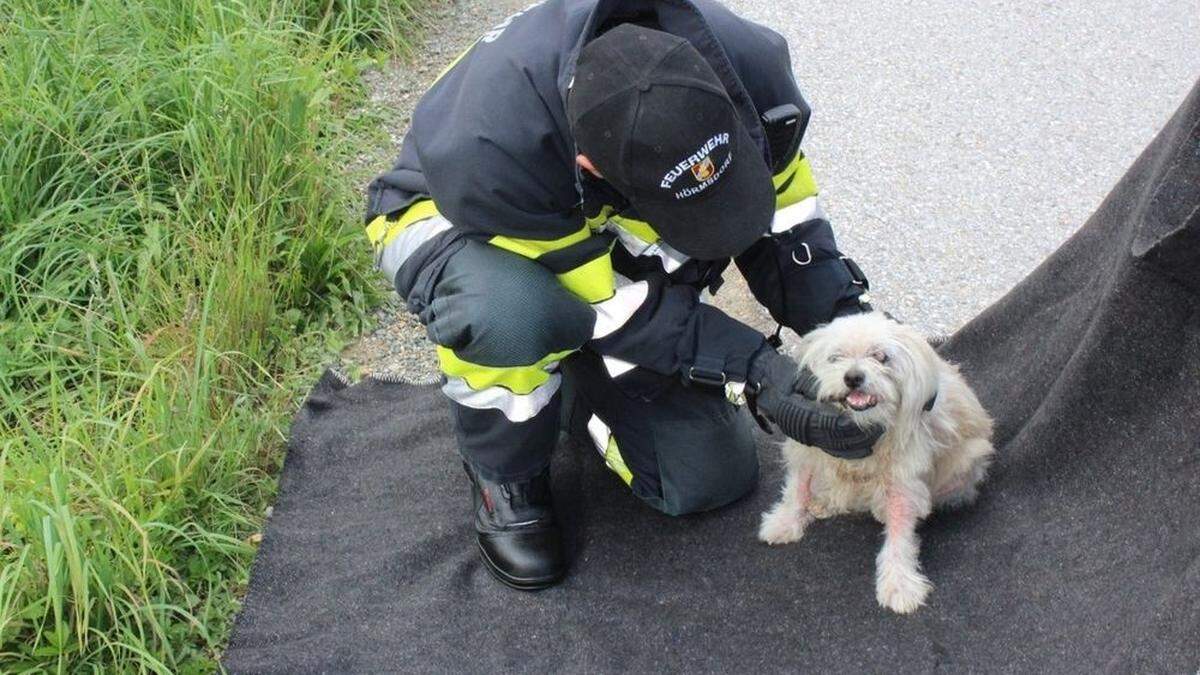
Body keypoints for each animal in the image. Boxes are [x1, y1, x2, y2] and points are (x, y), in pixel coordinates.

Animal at [758, 312, 993, 612]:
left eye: (880, 356)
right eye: (836, 357)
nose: (853, 377)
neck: (863, 426)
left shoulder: (903, 479)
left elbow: (900, 537)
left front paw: (899, 583)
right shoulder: (809, 445)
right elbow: (797, 488)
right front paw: (784, 522)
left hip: (964, 461)